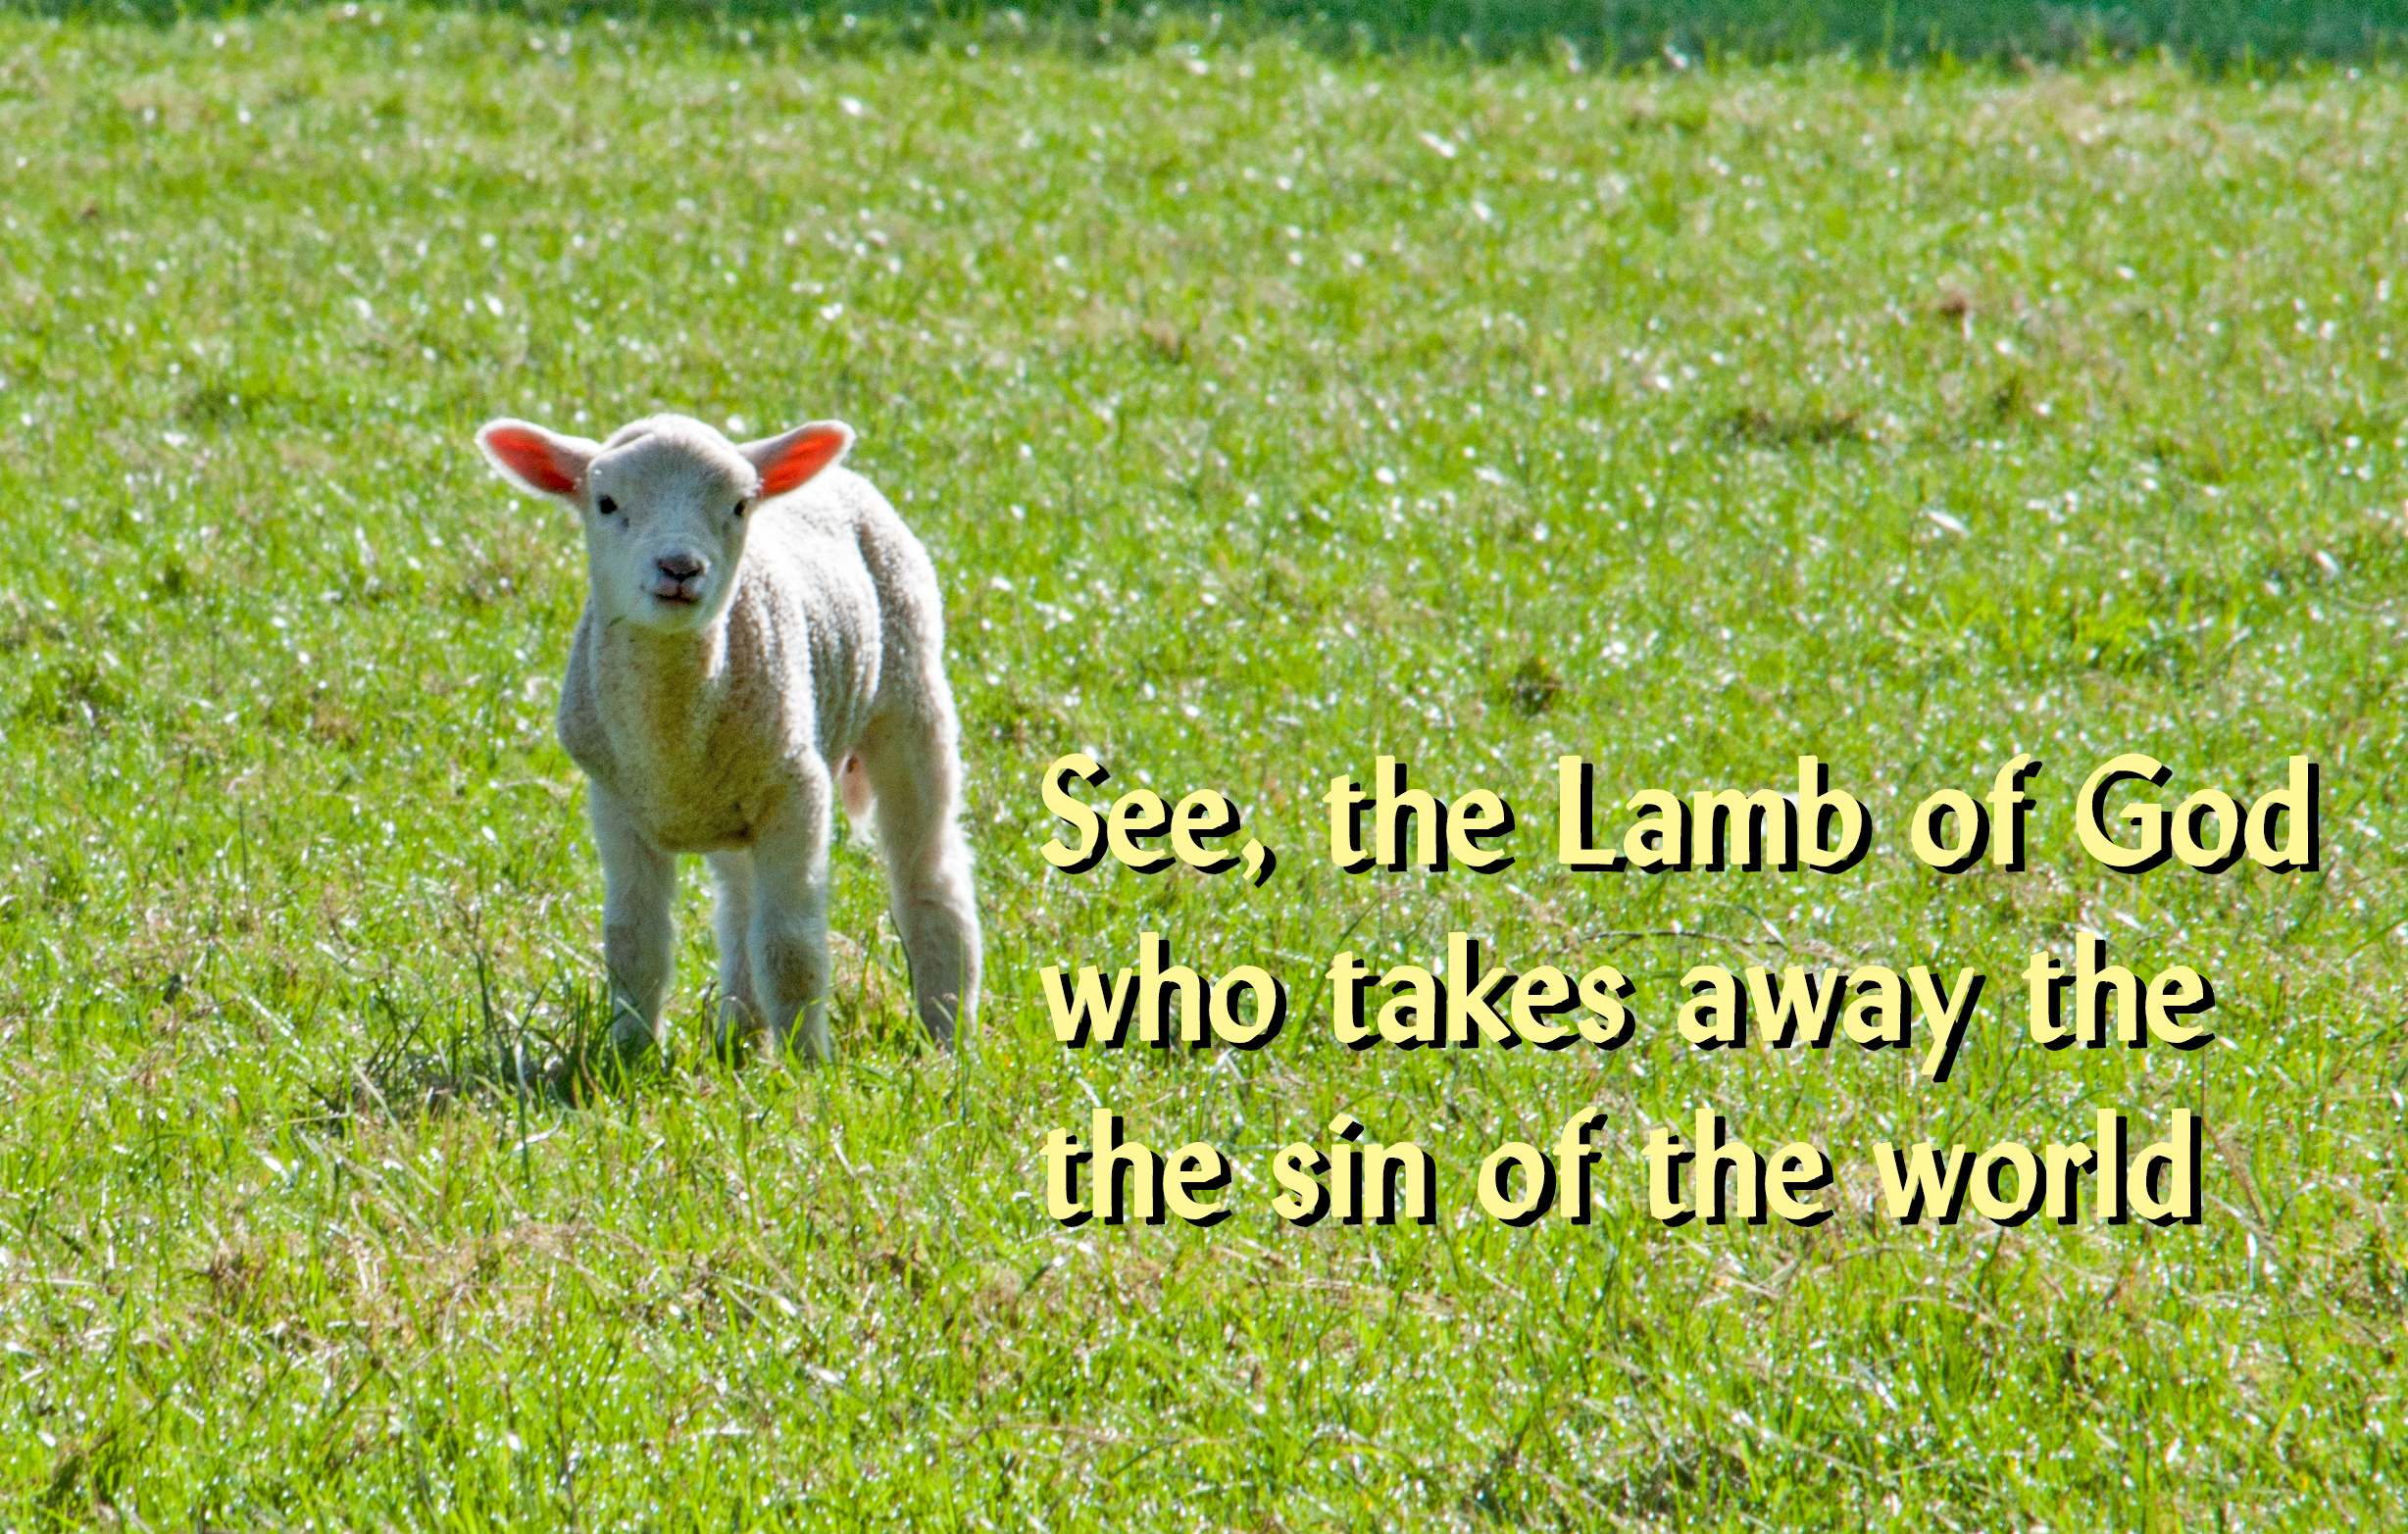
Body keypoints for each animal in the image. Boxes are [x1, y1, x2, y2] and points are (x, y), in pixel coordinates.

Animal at [473, 411, 980, 1063]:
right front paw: (629, 1056)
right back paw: (739, 1034)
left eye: (739, 505)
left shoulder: (797, 790)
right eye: (606, 503)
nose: (680, 568)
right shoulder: (616, 802)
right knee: (740, 907)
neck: (670, 739)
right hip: (736, 798)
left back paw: (946, 1035)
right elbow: (633, 940)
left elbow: (791, 946)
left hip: (910, 696)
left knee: (929, 873)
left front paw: (807, 1066)